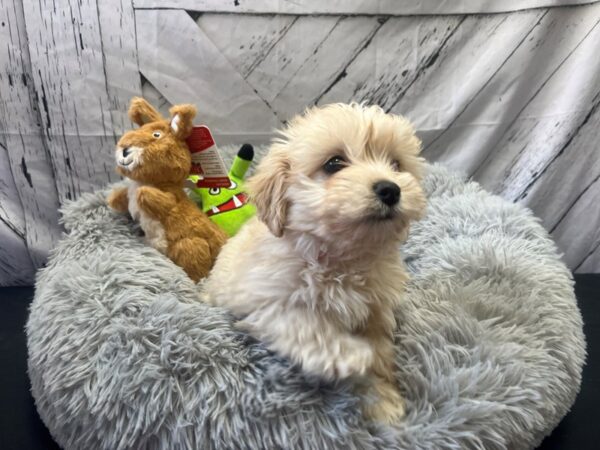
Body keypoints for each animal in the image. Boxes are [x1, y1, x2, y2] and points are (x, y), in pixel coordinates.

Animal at [206, 103, 426, 424]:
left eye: (396, 164)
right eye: (334, 163)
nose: (391, 189)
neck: (342, 258)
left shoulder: (375, 310)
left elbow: (379, 354)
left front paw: (381, 399)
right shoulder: (267, 301)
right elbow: (306, 325)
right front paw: (349, 355)